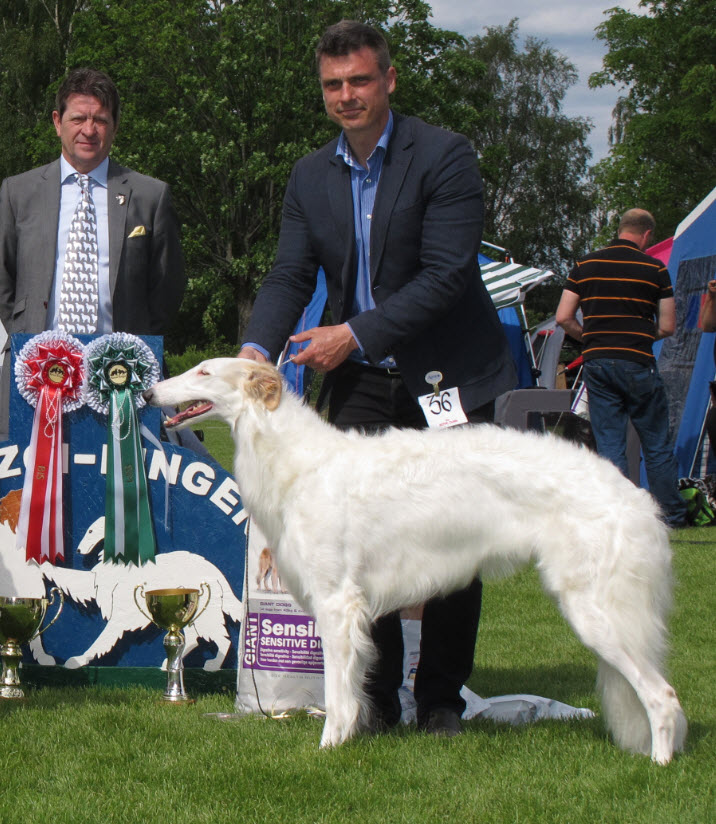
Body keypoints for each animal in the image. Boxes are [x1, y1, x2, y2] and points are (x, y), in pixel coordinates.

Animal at [143, 358, 684, 764]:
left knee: (663, 696)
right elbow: (356, 689)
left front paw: (328, 748)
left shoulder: (337, 604)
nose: (148, 394)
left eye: (204, 372)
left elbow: (337, 697)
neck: (302, 461)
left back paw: (659, 763)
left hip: (594, 611)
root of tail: (635, 497)